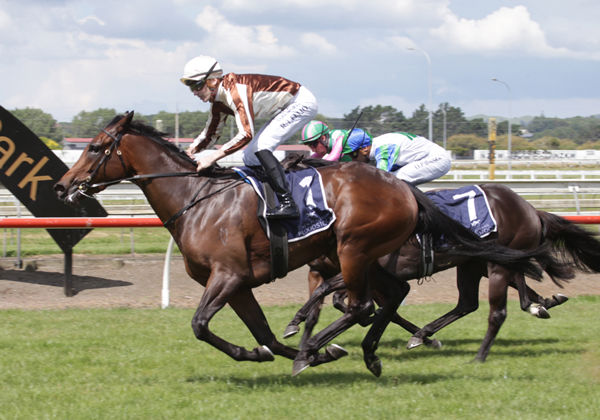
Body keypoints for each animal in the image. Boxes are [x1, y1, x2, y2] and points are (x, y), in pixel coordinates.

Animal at [54, 112, 548, 378]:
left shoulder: (228, 275)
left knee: (364, 306)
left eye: (95, 147)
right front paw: (277, 350)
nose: (62, 186)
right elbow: (265, 334)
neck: (198, 199)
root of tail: (405, 190)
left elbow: (199, 324)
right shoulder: (240, 284)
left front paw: (307, 350)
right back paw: (371, 351)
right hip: (377, 257)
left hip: (355, 249)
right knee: (396, 297)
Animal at [284, 183, 600, 360]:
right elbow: (333, 298)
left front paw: (297, 325)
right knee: (469, 302)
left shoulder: (369, 270)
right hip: (474, 263)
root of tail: (531, 209)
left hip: (494, 262)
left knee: (494, 306)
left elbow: (336, 294)